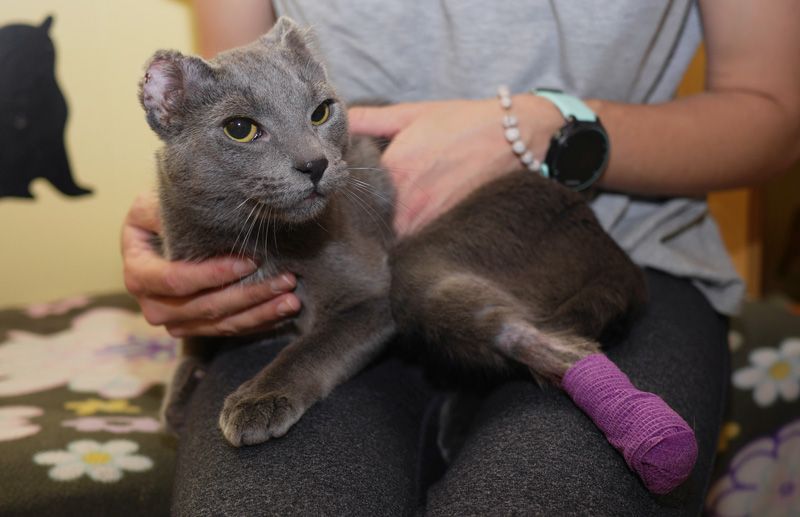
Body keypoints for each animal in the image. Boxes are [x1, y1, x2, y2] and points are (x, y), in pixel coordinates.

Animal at [142, 18, 398, 446]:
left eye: (320, 112)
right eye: (240, 129)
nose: (315, 163)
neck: (252, 236)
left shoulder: (373, 296)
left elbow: (310, 349)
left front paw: (258, 401)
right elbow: (191, 336)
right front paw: (180, 392)